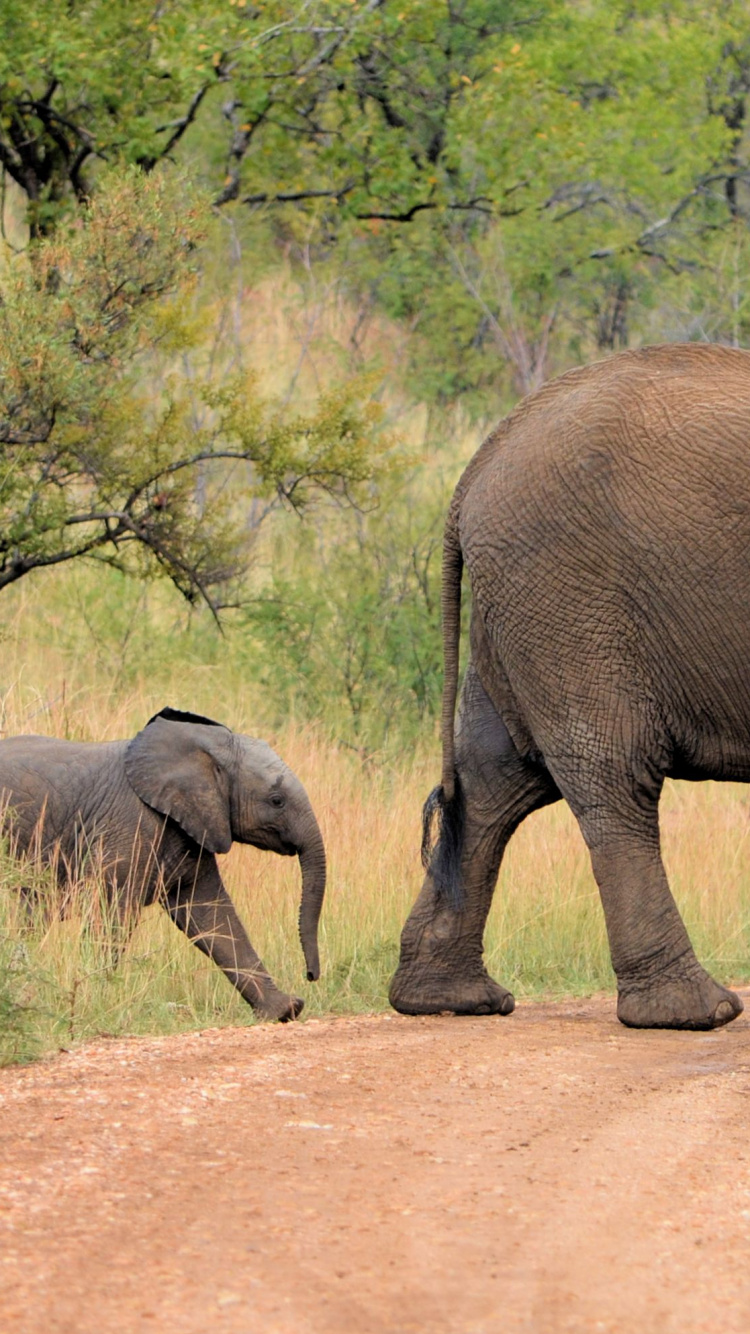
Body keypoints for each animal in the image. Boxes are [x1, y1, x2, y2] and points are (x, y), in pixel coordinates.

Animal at [0, 706, 326, 1021]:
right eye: (276, 800)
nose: (311, 976)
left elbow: (212, 916)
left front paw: (283, 1011)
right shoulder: (129, 826)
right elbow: (111, 913)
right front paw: (98, 997)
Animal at [390, 342, 750, 1030]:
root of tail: (482, 459)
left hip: (529, 605)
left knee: (493, 780)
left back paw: (448, 1001)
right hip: (568, 595)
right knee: (611, 773)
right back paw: (694, 1012)